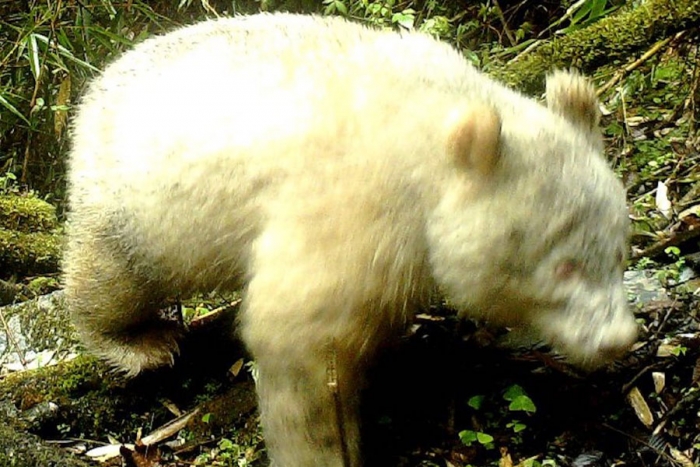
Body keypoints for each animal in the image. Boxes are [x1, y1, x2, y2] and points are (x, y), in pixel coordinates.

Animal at [63, 13, 636, 467]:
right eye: (564, 265)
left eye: (620, 252)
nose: (618, 339)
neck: (431, 132)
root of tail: (98, 85)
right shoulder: (354, 206)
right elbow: (299, 337)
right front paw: (327, 448)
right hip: (133, 202)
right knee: (112, 277)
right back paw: (140, 342)